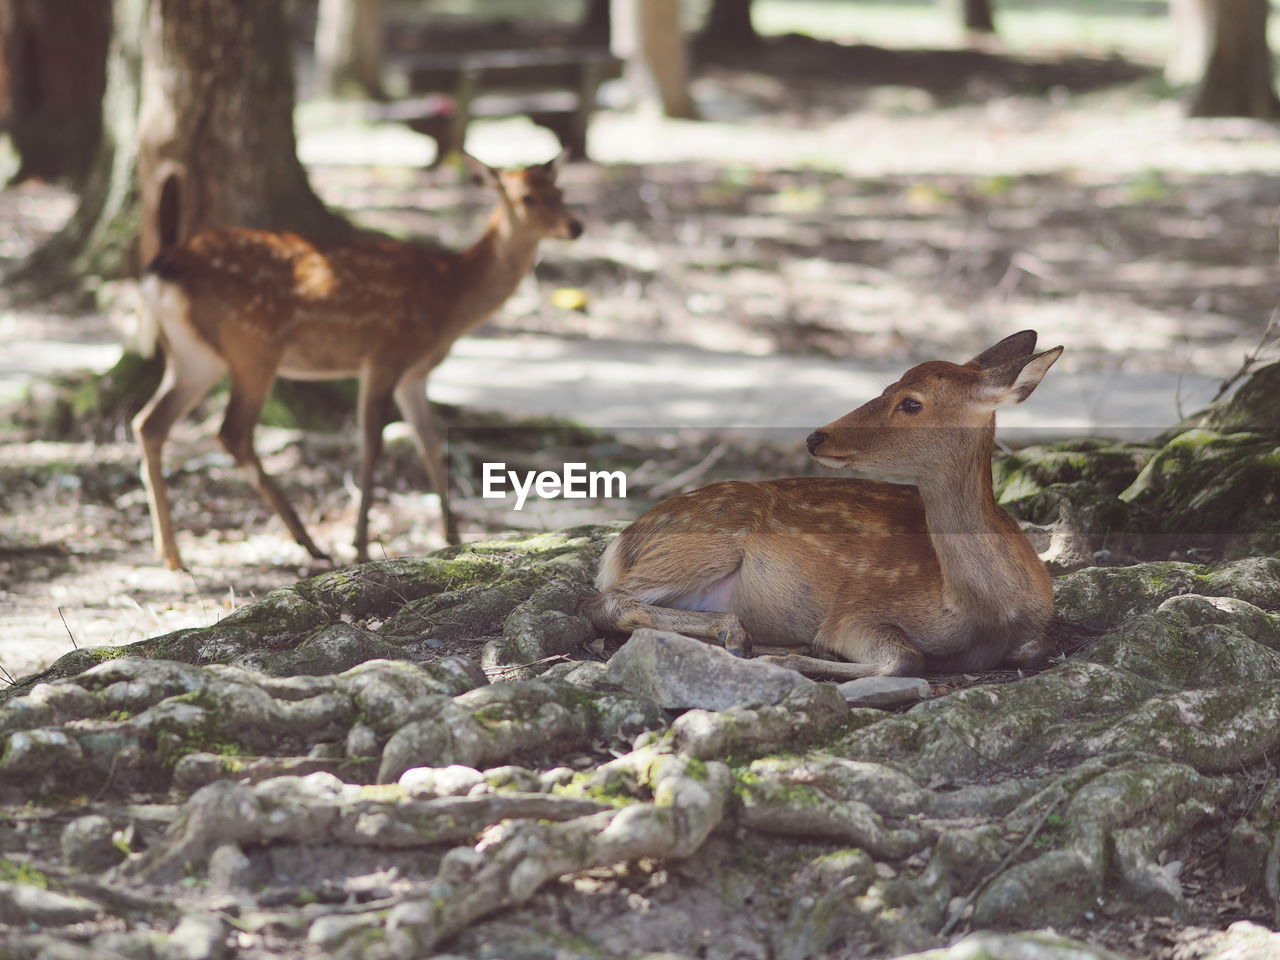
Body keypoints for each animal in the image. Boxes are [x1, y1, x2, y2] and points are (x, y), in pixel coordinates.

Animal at [131, 152, 581, 570]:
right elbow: (371, 445)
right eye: (528, 197)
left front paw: (451, 535)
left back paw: (171, 552)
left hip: (195, 356)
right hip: (253, 347)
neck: (451, 296)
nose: (576, 226)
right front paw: (361, 544)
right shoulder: (385, 356)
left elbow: (430, 444)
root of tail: (161, 269)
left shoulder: (414, 374)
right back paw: (309, 542)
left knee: (149, 423)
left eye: (560, 192)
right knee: (232, 432)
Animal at [586, 335, 1064, 680]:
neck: (984, 611)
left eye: (911, 401)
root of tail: (621, 543)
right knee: (606, 602)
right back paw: (740, 636)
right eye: (887, 385)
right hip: (702, 541)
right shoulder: (855, 614)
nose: (816, 436)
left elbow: (1038, 647)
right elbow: (907, 658)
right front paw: (790, 659)